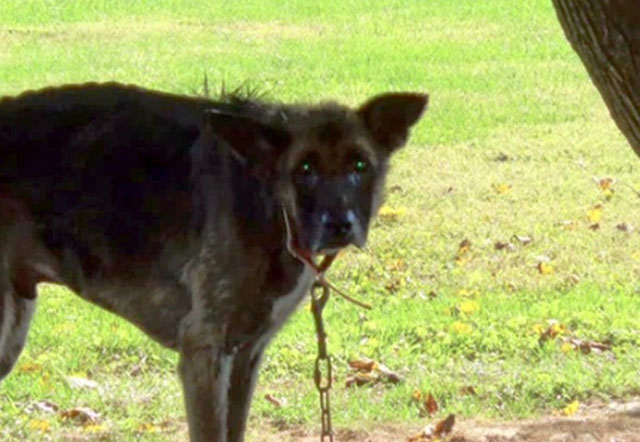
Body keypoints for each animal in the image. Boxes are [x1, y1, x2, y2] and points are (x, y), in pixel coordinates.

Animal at [1, 83, 430, 442]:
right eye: (305, 170)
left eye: (360, 166)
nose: (339, 225)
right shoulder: (204, 354)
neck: (269, 203)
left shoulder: (245, 356)